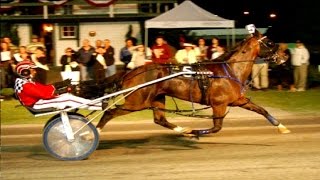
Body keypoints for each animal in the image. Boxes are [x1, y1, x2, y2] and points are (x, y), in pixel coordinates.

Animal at [94, 28, 290, 137]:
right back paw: (94, 134)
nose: (284, 56)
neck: (230, 69)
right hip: (135, 103)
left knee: (160, 120)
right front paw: (195, 132)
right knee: (109, 113)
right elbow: (216, 127)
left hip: (156, 99)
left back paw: (183, 130)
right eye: (270, 42)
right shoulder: (219, 104)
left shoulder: (238, 100)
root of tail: (130, 72)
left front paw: (282, 127)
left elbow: (262, 110)